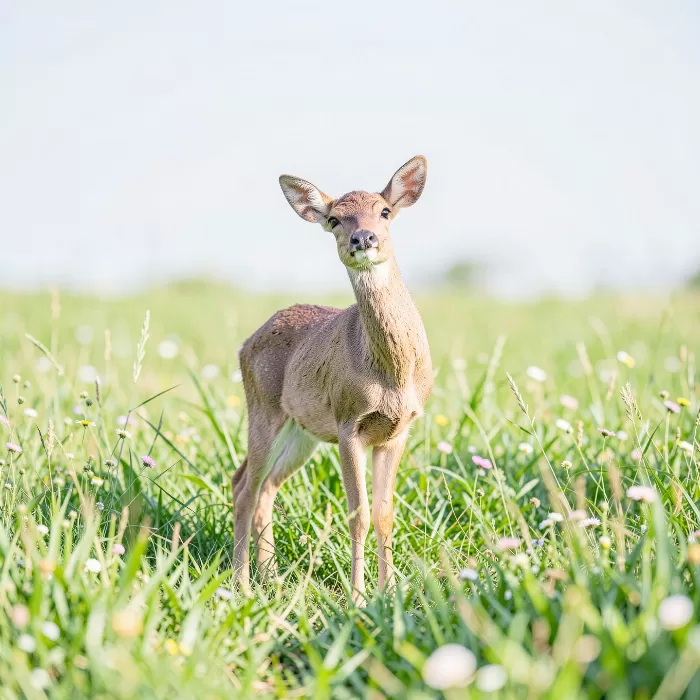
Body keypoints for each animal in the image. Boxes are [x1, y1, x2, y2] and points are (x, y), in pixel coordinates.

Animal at [231, 156, 433, 603]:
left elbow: (384, 514)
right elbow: (358, 514)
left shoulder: (399, 431)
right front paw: (357, 597)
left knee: (263, 487)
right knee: (245, 488)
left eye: (385, 211)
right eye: (336, 218)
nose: (363, 238)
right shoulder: (348, 422)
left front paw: (389, 592)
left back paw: (271, 577)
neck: (392, 376)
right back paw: (242, 584)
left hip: (300, 432)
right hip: (263, 411)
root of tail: (246, 343)